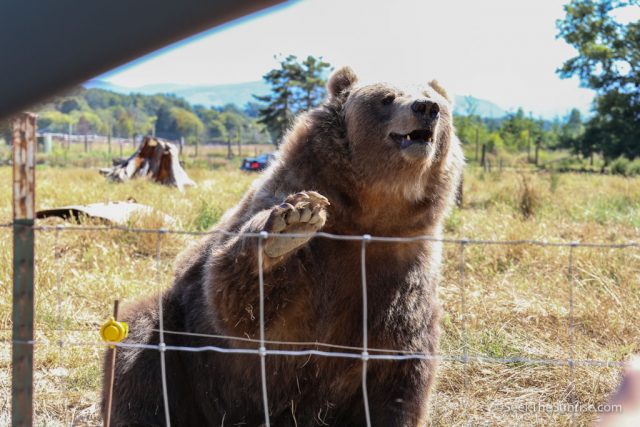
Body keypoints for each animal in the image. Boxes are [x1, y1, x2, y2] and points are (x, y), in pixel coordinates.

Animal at [104, 67, 464, 427]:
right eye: (387, 97)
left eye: (434, 101)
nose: (426, 108)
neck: (368, 212)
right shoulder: (304, 243)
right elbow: (237, 305)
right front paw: (291, 225)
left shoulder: (400, 270)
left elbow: (398, 372)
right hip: (185, 344)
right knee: (140, 351)